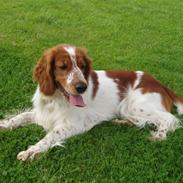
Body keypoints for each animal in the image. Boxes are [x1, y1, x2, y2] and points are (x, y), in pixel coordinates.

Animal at [0, 44, 183, 160]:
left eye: (82, 66)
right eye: (62, 66)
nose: (82, 87)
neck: (57, 99)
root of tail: (159, 83)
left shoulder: (74, 125)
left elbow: (51, 135)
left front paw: (32, 151)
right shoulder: (42, 114)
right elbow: (20, 116)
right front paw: (5, 124)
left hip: (136, 105)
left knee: (169, 119)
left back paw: (159, 135)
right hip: (127, 108)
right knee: (142, 120)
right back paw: (122, 122)